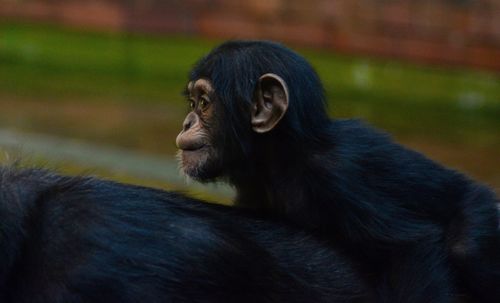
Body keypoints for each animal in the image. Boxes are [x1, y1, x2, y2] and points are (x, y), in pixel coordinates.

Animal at [176, 41, 500, 303]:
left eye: (203, 103)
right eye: (192, 102)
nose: (187, 121)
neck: (280, 158)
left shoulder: (339, 175)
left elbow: (409, 247)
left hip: (481, 213)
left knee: (465, 247)